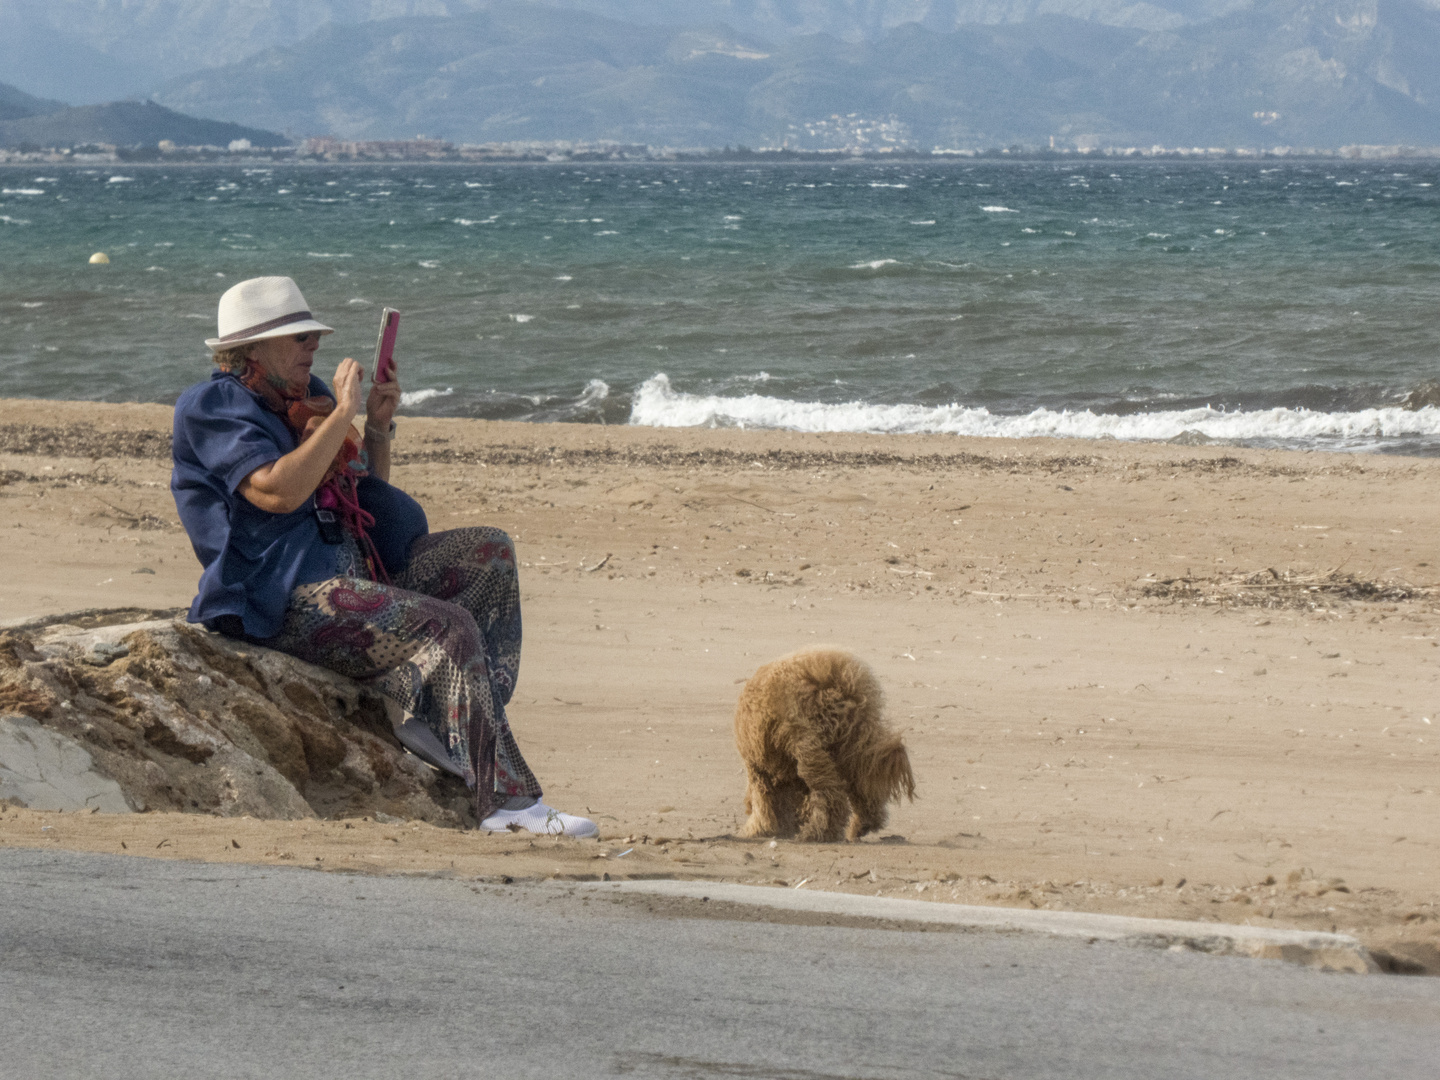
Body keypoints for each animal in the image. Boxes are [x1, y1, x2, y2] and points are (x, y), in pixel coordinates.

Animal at [737, 648, 915, 840]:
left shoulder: (758, 770)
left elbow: (763, 802)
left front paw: (758, 828)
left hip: (808, 747)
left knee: (830, 794)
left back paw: (817, 833)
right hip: (853, 746)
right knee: (862, 784)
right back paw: (863, 824)